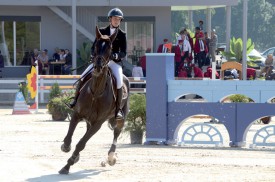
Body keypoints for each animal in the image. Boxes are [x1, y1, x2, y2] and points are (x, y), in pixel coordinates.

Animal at [58, 26, 130, 175]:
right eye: (96, 45)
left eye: (110, 48)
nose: (97, 67)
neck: (96, 93)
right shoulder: (77, 114)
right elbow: (69, 138)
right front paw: (67, 149)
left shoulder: (98, 123)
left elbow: (81, 143)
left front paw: (67, 165)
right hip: (89, 119)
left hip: (121, 116)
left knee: (116, 132)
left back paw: (111, 157)